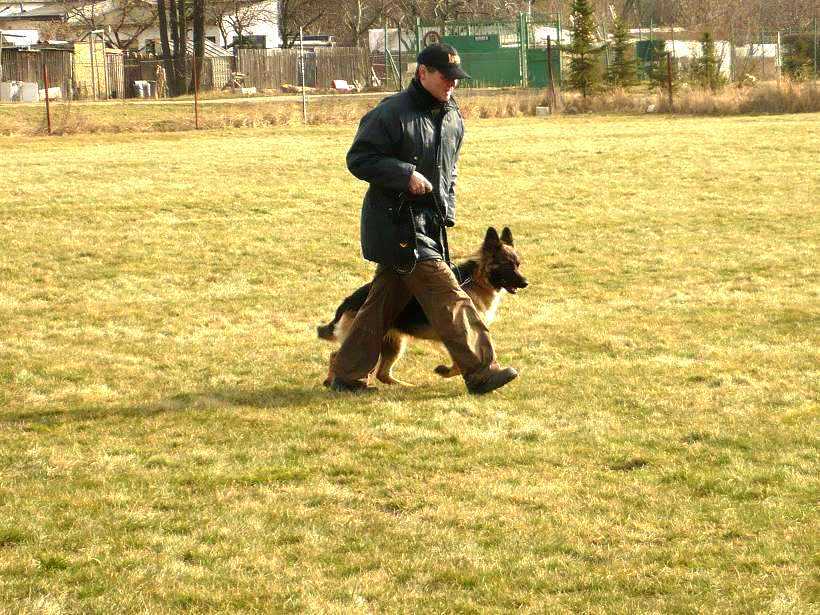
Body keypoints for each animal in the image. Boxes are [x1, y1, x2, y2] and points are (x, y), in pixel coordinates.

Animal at [317, 226, 528, 386]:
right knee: (336, 355)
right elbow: (459, 361)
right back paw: (332, 380)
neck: (477, 279)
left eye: (518, 264)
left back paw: (402, 385)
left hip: (394, 343)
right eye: (507, 265)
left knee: (382, 374)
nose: (526, 283)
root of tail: (348, 300)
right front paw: (446, 371)